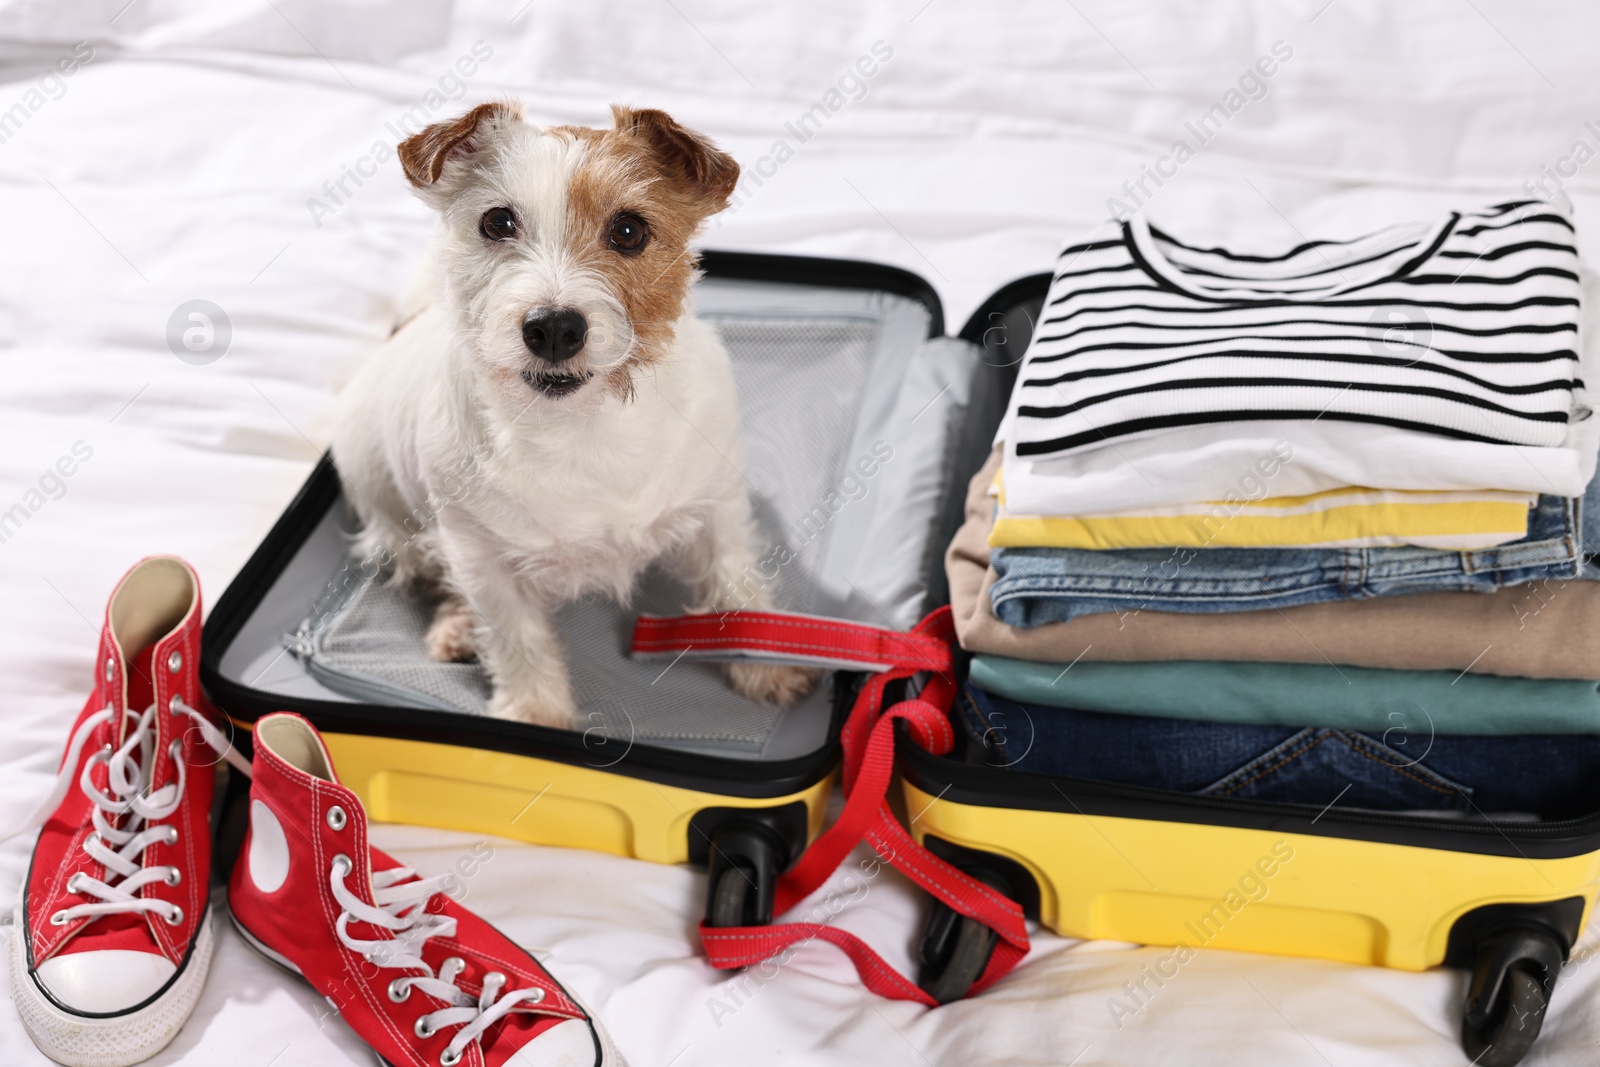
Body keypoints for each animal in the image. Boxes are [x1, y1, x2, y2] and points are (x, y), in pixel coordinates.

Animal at [332, 102, 819, 726]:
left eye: (629, 230)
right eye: (497, 222)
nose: (554, 328)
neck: (587, 427)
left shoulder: (717, 511)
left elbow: (735, 589)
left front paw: (766, 663)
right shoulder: (482, 560)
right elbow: (517, 639)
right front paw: (535, 715)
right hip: (397, 523)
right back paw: (458, 627)